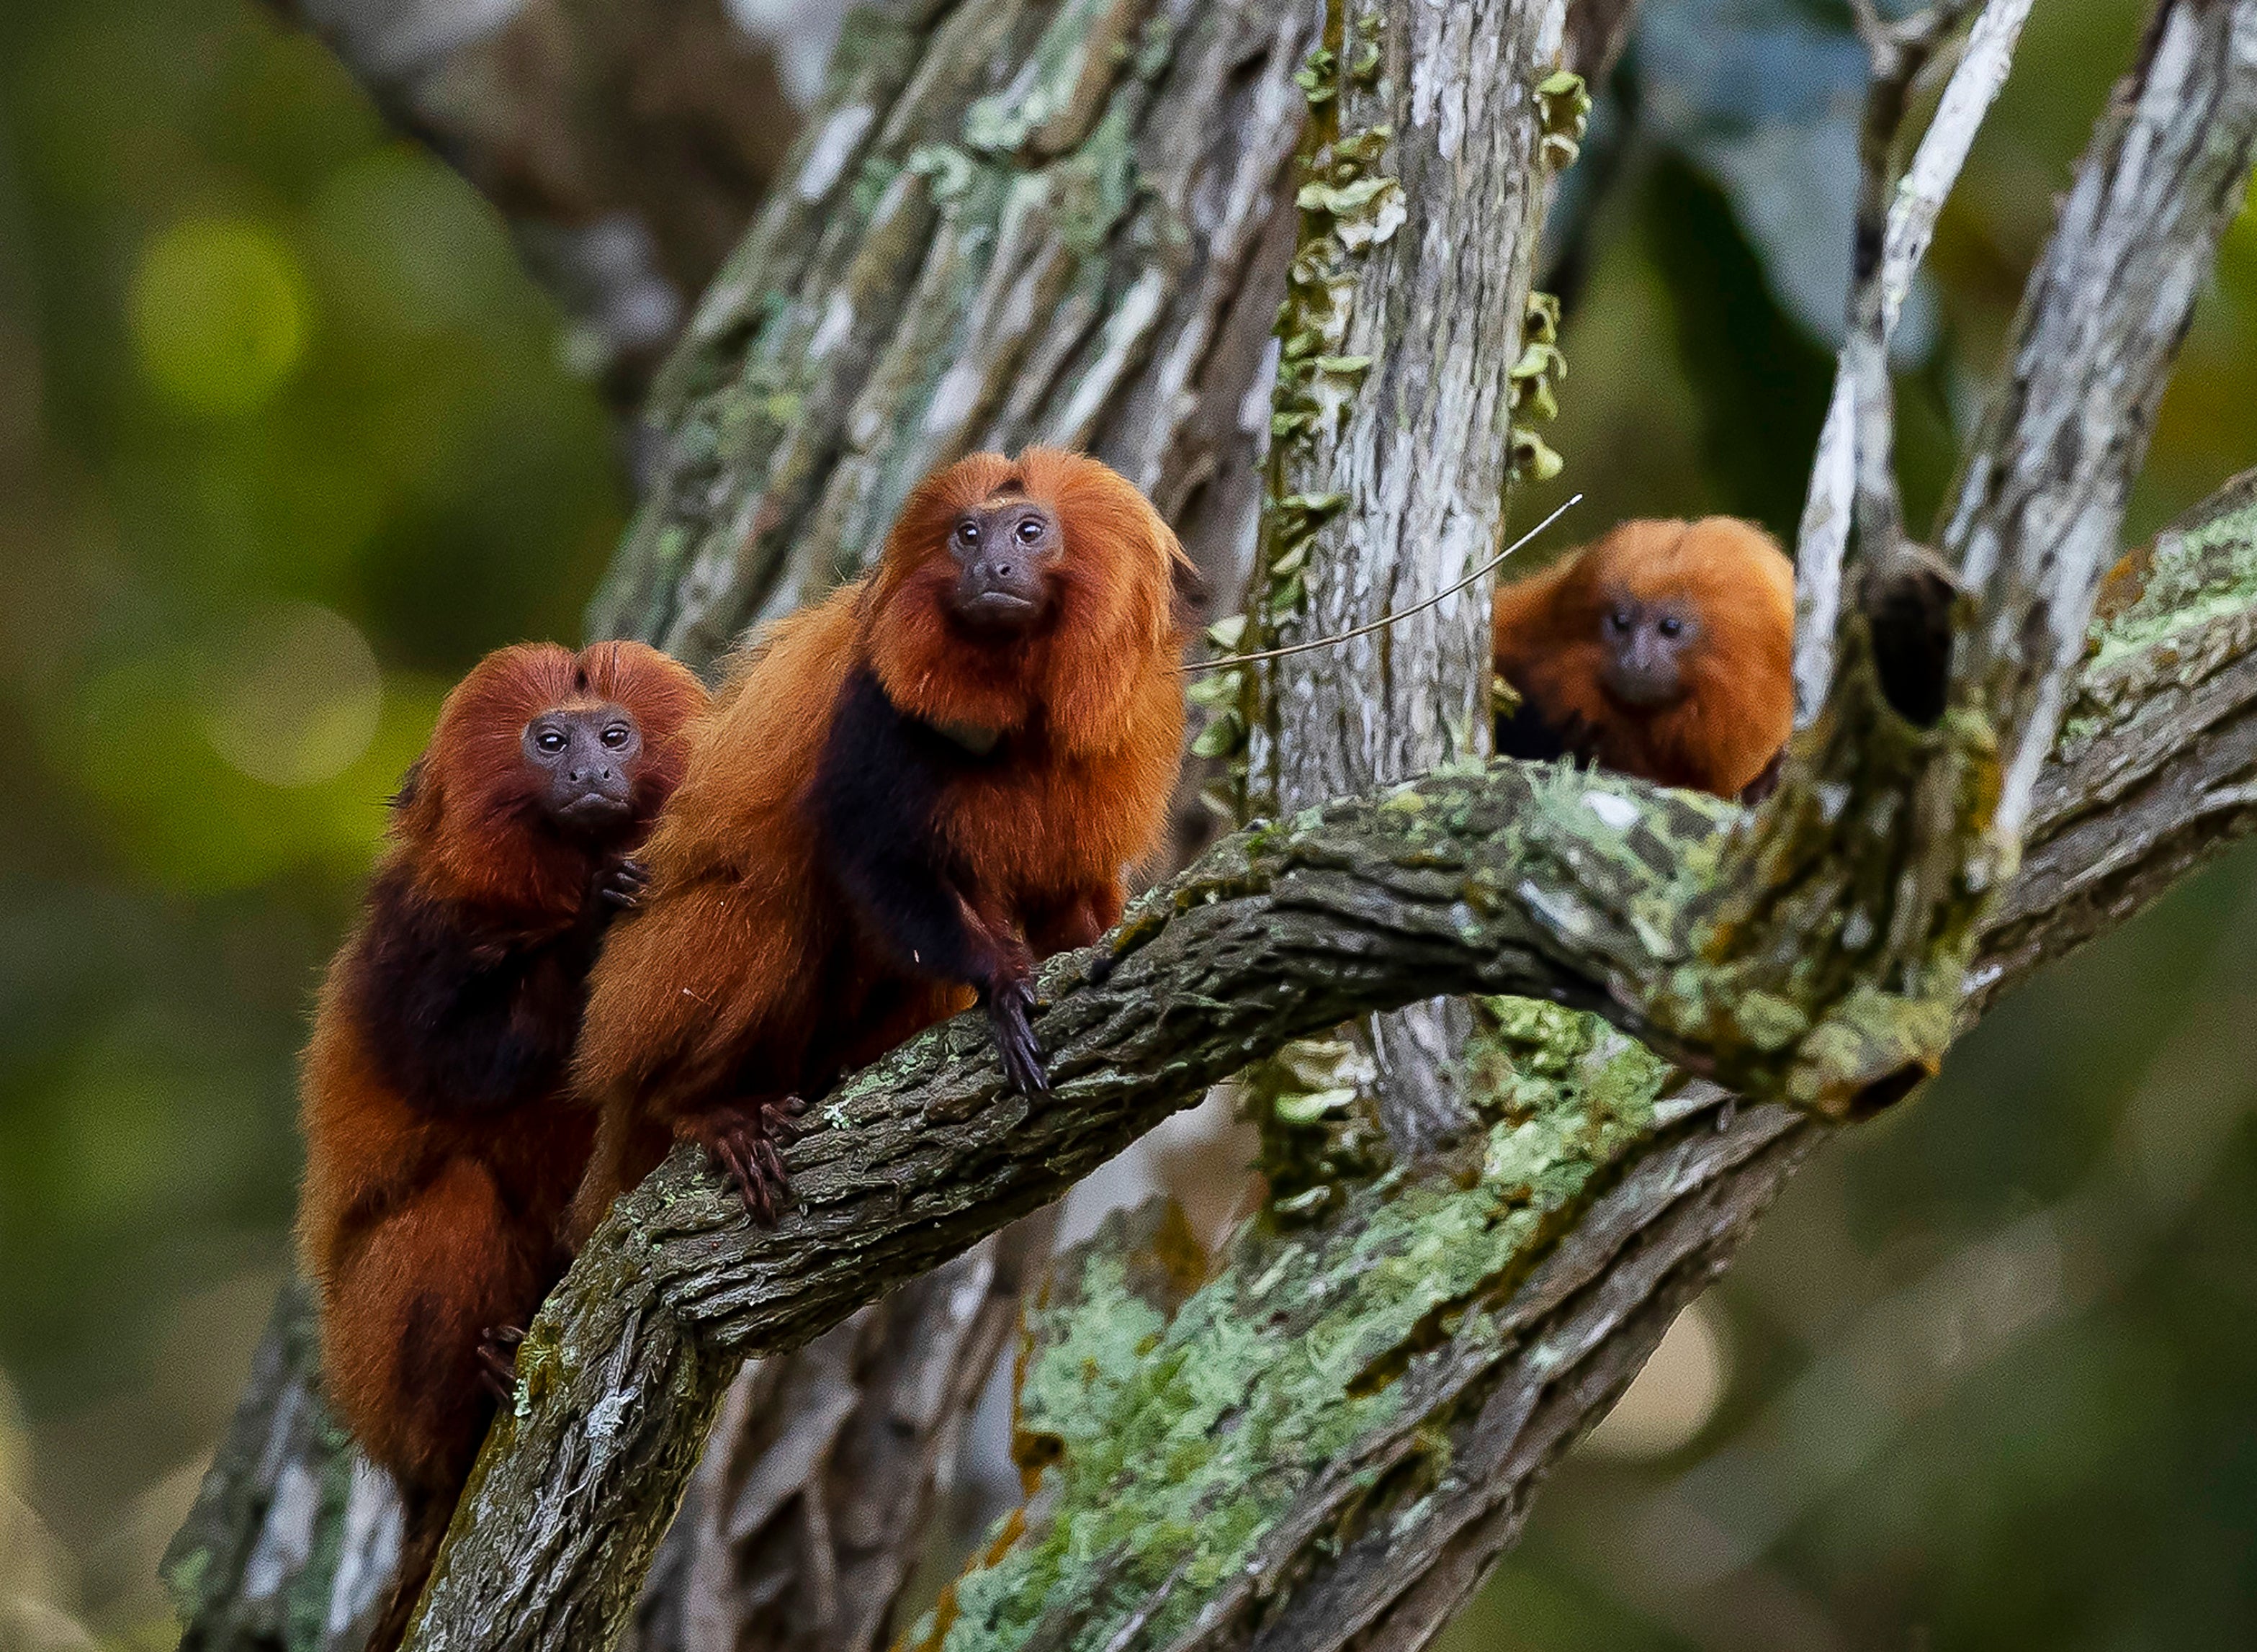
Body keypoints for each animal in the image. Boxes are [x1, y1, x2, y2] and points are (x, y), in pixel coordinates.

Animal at [294, 640, 708, 1652]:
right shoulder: (411, 932)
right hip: (368, 1360)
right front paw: (597, 922)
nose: (590, 773)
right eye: (549, 741)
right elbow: (460, 1063)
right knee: (454, 1196)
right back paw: (469, 1404)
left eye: (614, 735)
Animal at [568, 448, 1193, 1238]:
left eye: (1028, 532)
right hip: (636, 1001)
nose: (990, 566)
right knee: (770, 905)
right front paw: (999, 984)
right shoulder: (877, 692)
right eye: (966, 535)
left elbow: (1068, 888)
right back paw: (696, 1108)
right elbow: (869, 851)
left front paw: (1086, 941)